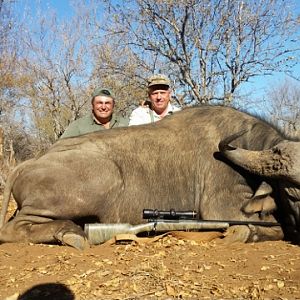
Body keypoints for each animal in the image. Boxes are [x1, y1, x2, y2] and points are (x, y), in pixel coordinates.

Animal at [0, 105, 300, 248]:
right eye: (292, 194)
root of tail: (28, 164)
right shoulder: (224, 208)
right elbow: (269, 228)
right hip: (101, 179)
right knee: (13, 228)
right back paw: (71, 233)